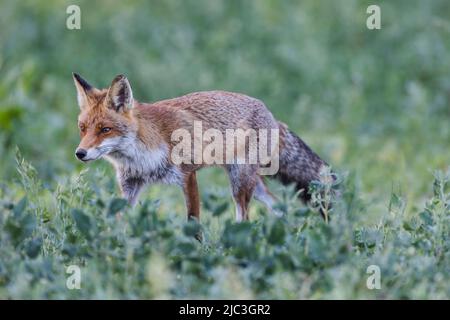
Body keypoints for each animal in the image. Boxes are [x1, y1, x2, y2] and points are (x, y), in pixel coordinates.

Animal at [72, 73, 328, 221]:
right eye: (82, 129)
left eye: (105, 129)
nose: (80, 153)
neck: (140, 155)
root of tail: (271, 115)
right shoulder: (131, 184)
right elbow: (119, 219)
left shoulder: (187, 175)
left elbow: (193, 222)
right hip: (251, 184)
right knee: (277, 205)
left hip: (239, 184)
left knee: (244, 218)